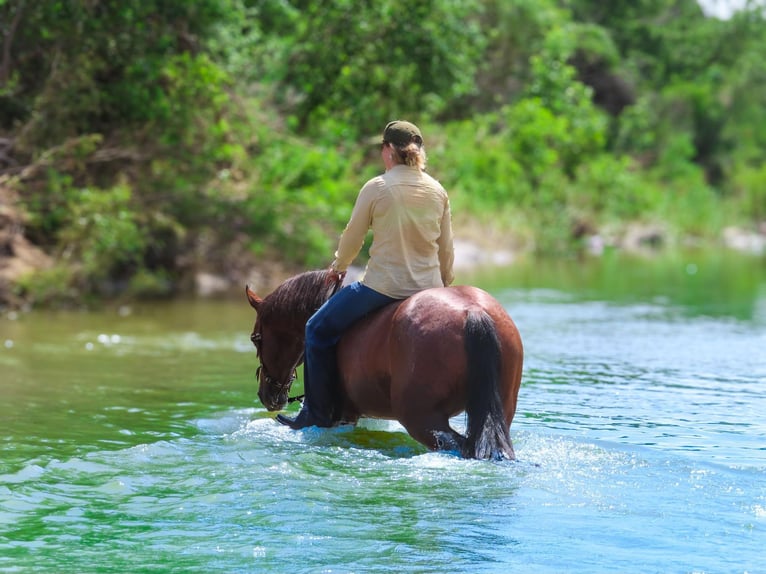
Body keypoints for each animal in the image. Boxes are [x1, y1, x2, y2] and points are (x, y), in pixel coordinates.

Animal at [245, 270, 523, 460]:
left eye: (256, 339)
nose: (267, 395)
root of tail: (472, 311)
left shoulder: (345, 415)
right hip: (499, 412)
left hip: (421, 418)